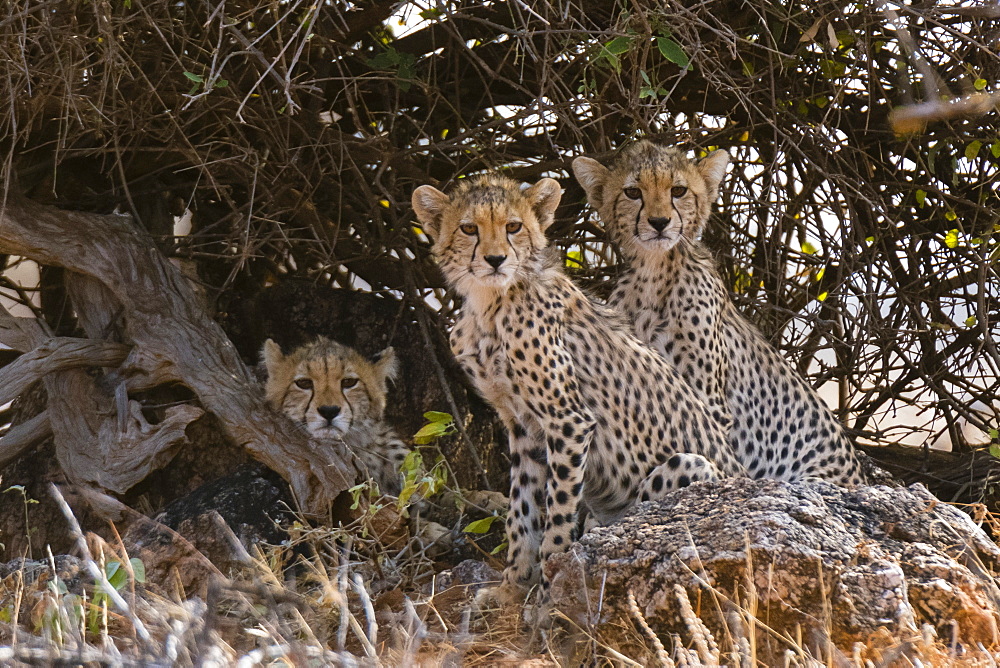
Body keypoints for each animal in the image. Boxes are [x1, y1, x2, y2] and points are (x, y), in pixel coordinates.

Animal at [410, 174, 748, 600]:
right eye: (469, 228)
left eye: (513, 226)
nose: (495, 260)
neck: (491, 303)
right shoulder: (522, 427)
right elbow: (521, 511)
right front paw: (511, 587)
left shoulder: (568, 420)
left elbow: (557, 510)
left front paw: (548, 588)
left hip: (689, 466)